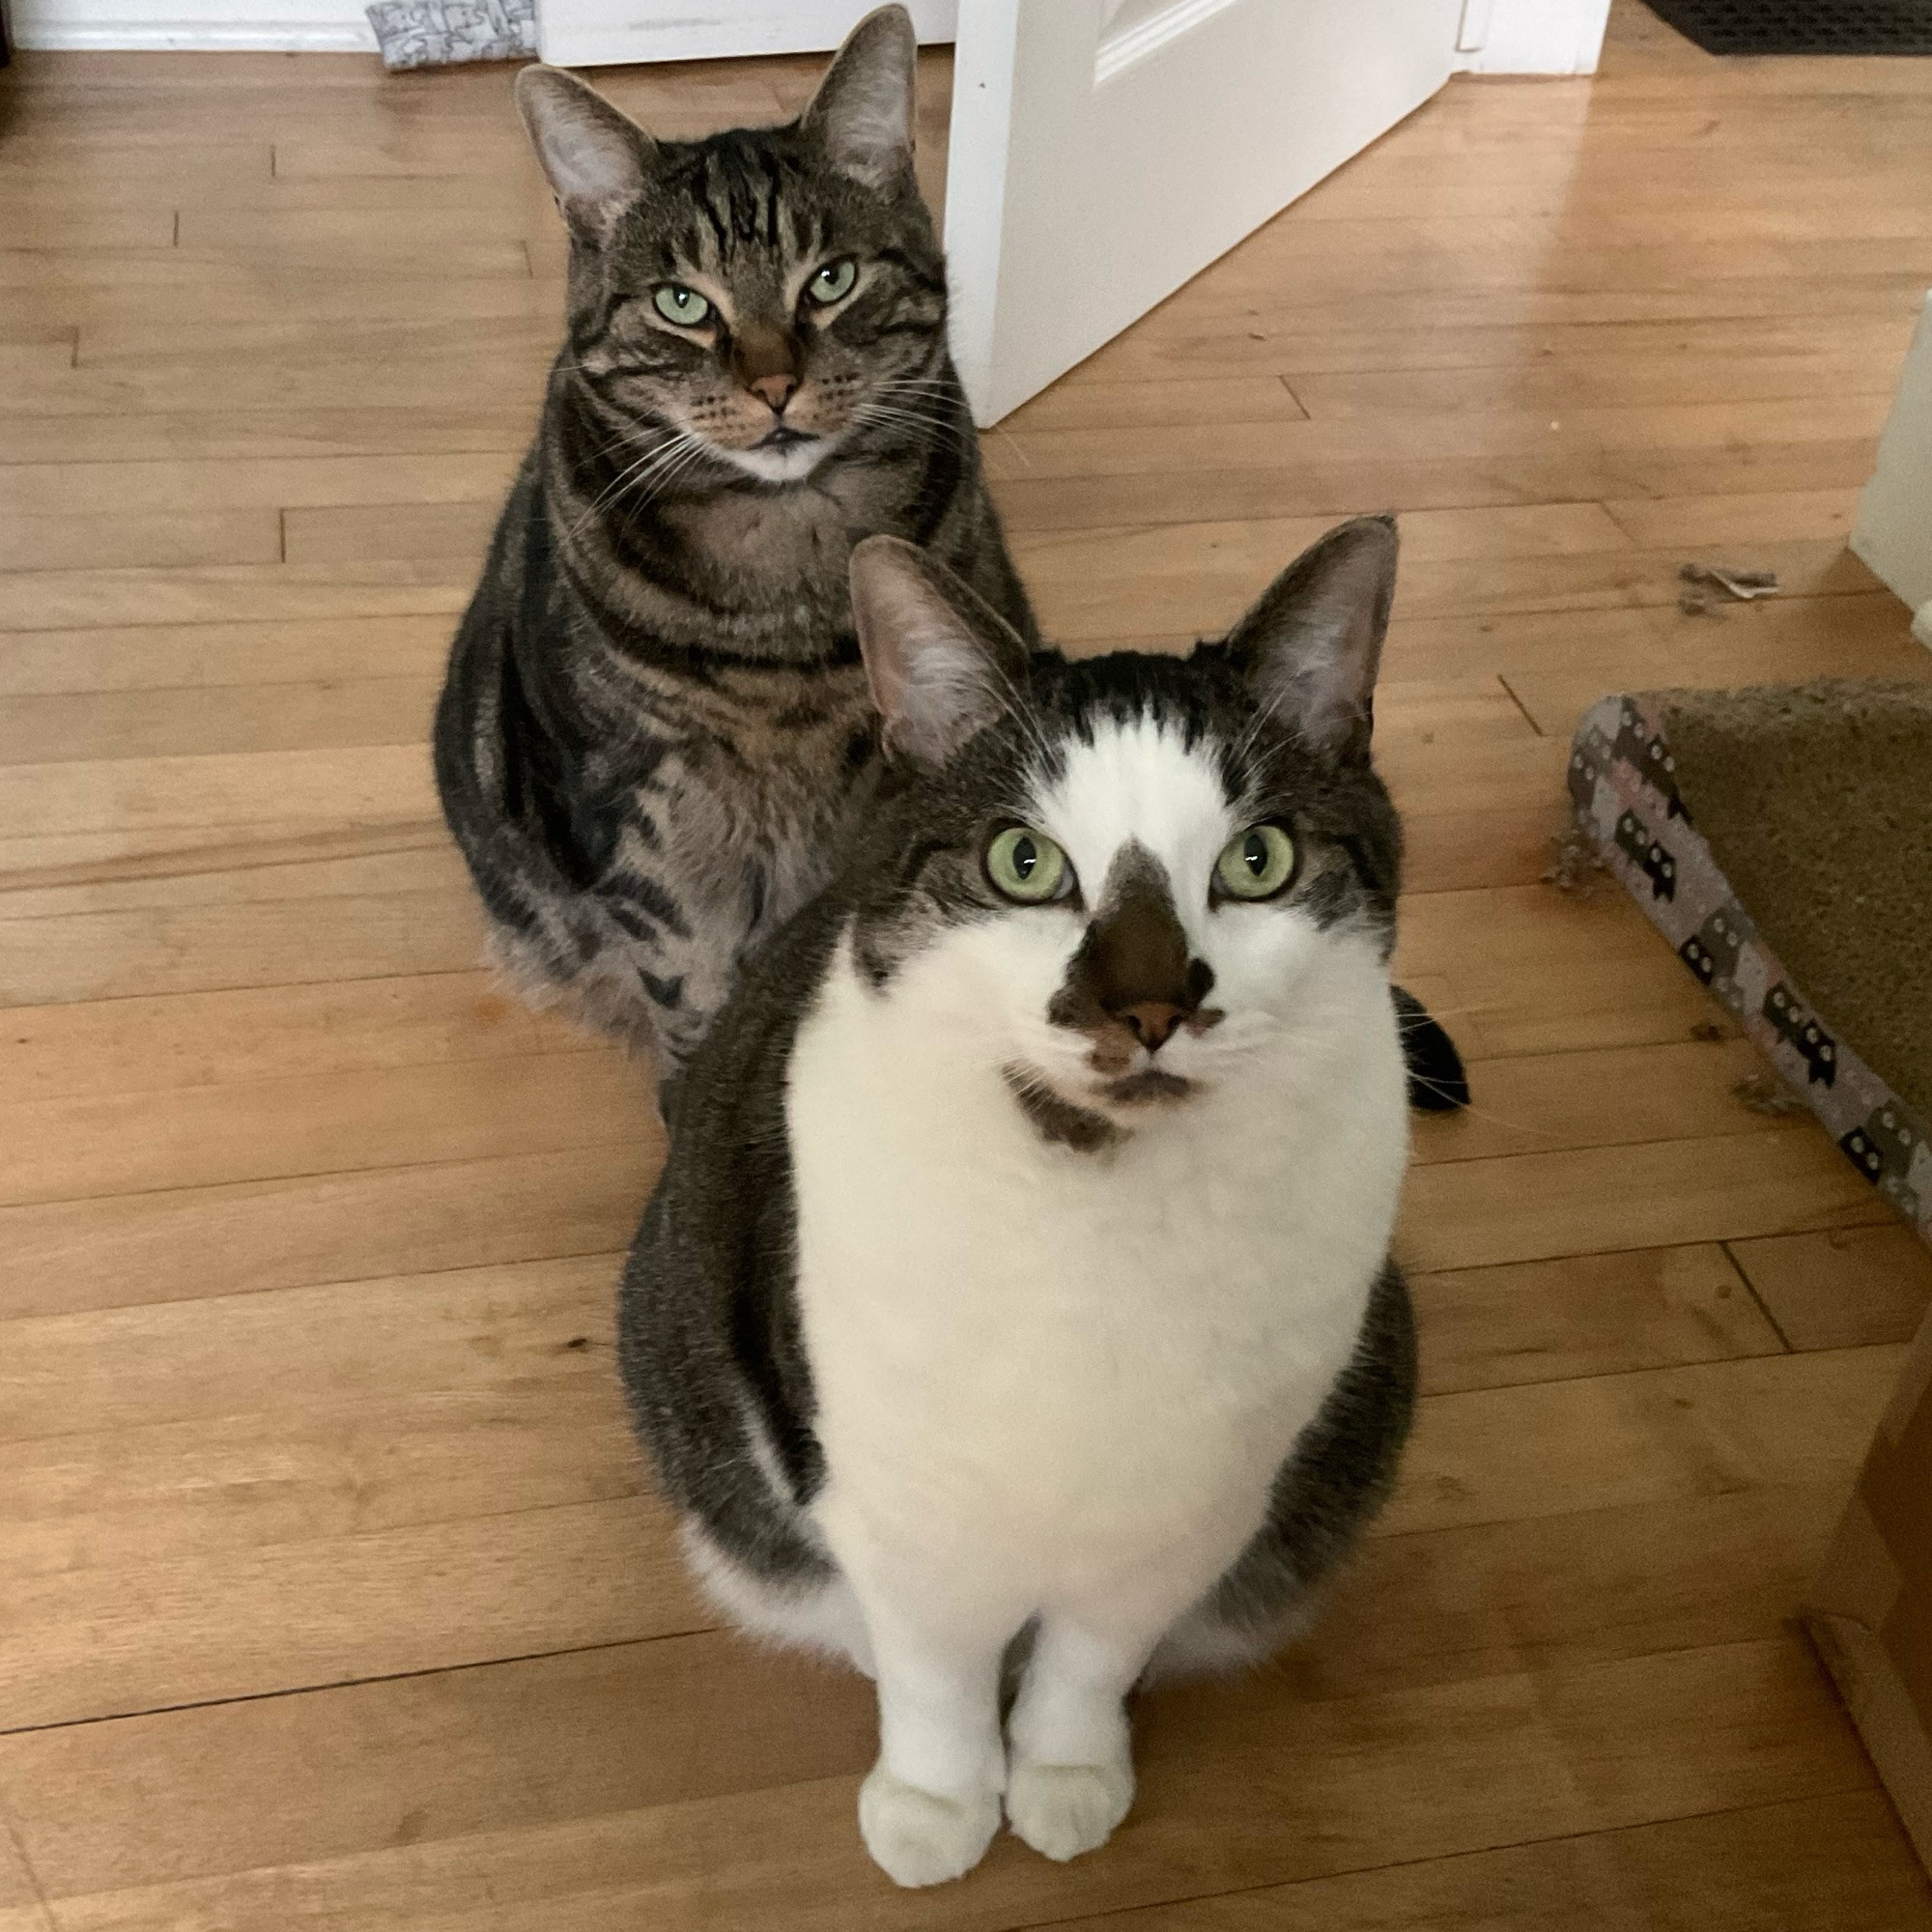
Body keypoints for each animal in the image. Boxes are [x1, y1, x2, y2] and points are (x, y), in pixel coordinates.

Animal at [618, 518, 1422, 1886]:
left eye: (1256, 860)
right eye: (1023, 861)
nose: (1146, 1005)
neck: (1094, 1199)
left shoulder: (1190, 1503)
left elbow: (1090, 1654)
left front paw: (1063, 1771)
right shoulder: (897, 1493)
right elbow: (931, 1663)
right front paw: (937, 1799)